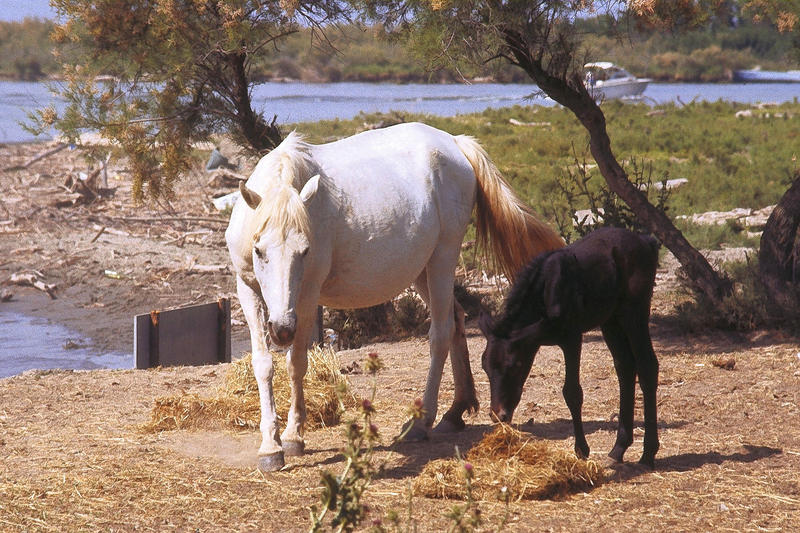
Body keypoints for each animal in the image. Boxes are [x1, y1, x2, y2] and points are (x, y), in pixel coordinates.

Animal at [225, 121, 564, 470]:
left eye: (304, 251)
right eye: (259, 250)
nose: (281, 329)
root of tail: (455, 143)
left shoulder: (306, 297)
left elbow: (296, 363)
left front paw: (292, 436)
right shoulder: (247, 290)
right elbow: (263, 364)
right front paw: (270, 446)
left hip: (442, 259)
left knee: (441, 333)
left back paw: (420, 423)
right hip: (421, 272)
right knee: (456, 319)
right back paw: (454, 413)